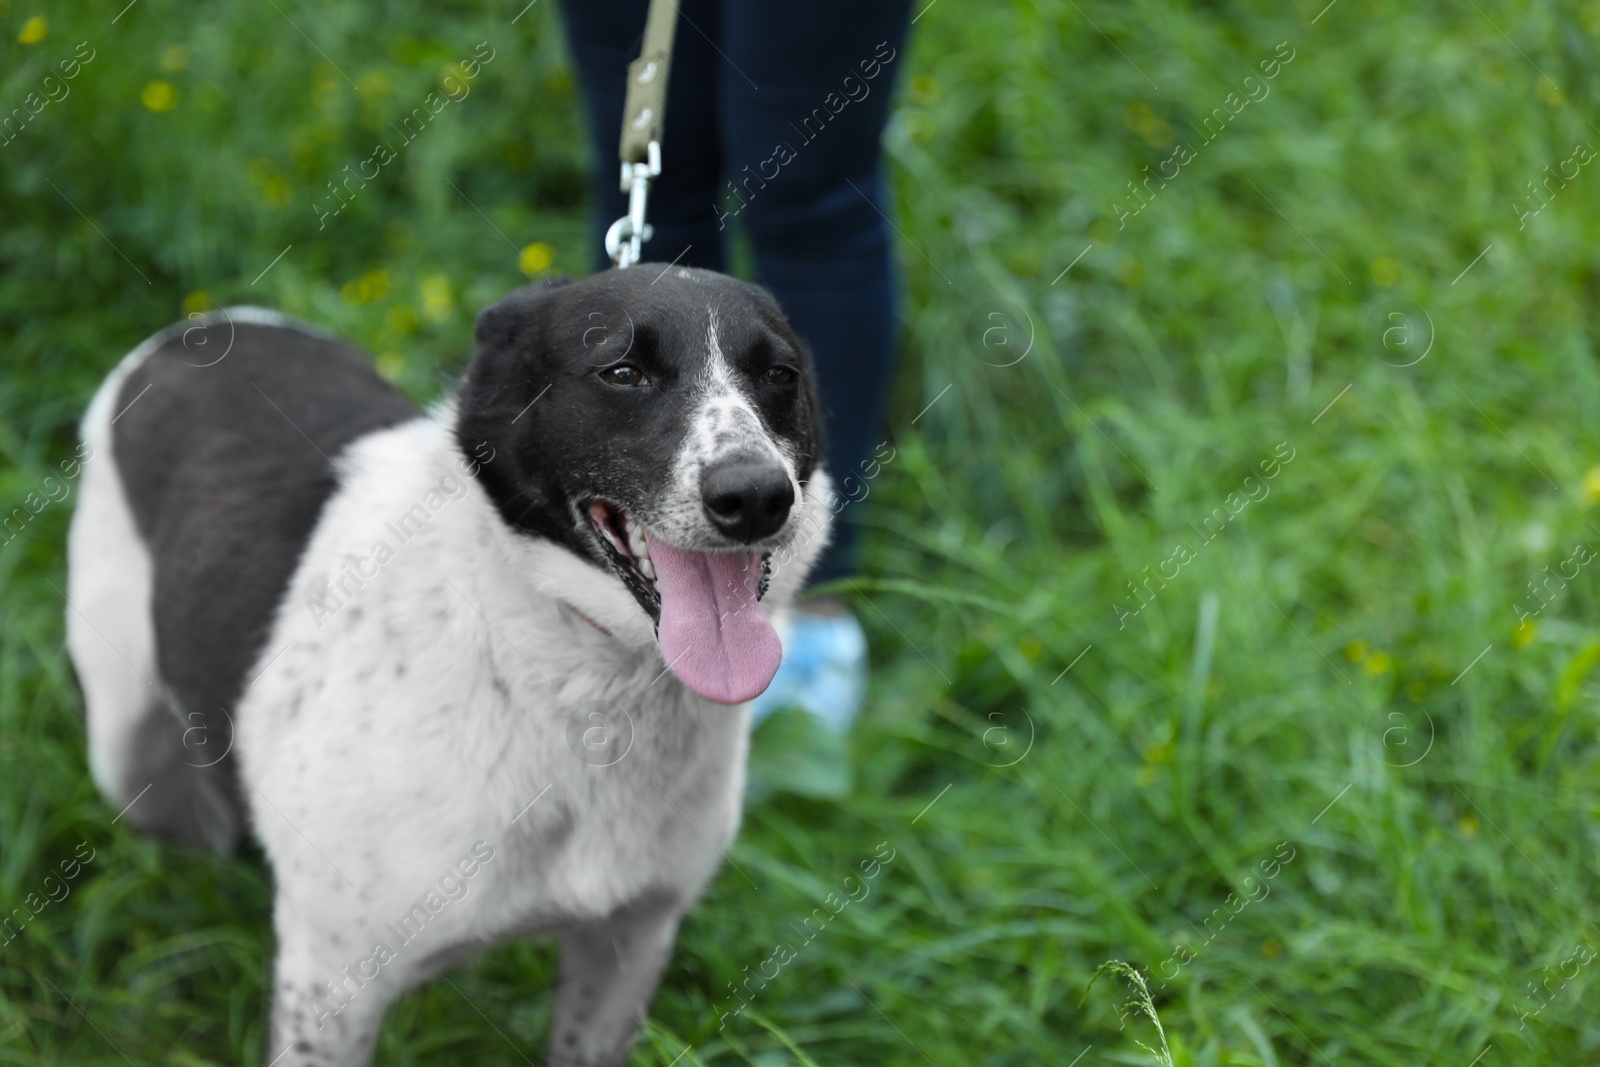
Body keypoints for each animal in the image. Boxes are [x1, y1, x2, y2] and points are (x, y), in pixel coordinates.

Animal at [65, 262, 825, 1062]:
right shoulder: (328, 986)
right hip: (124, 749)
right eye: (622, 371)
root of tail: (198, 326)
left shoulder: (628, 939)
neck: (583, 669)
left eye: (779, 375)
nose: (757, 496)